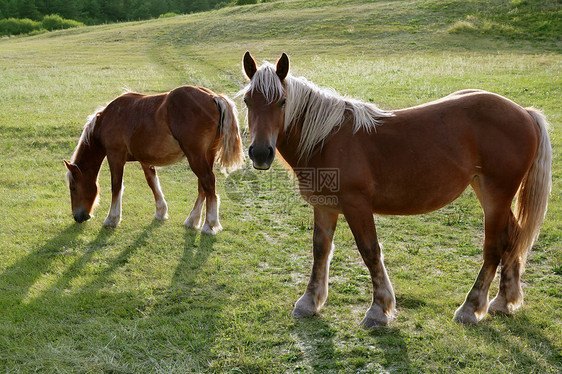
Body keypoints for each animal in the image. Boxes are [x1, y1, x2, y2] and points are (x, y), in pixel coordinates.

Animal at [64, 86, 243, 235]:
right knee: (203, 187)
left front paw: (112, 219)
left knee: (208, 183)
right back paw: (193, 220)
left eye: (73, 187)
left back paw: (209, 225)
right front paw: (161, 212)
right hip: (207, 155)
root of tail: (213, 97)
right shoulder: (145, 159)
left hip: (196, 157)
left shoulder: (115, 156)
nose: (78, 217)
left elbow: (116, 186)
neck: (108, 119)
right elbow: (152, 182)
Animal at [240, 51, 548, 326]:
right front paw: (309, 302)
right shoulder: (325, 206)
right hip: (488, 193)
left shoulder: (356, 206)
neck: (326, 140)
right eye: (247, 101)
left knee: (493, 249)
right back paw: (503, 302)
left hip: (496, 195)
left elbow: (369, 251)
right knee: (513, 237)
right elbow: (320, 250)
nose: (260, 153)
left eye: (282, 101)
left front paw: (379, 309)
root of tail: (525, 113)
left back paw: (471, 308)